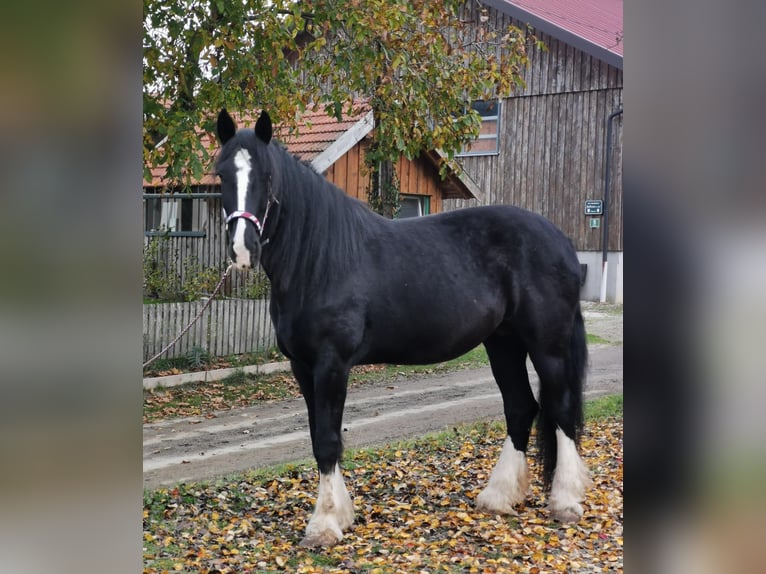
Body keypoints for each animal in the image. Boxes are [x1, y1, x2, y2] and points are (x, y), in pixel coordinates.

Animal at [214, 108, 591, 547]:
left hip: (548, 346)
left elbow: (327, 440)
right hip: (503, 344)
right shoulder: (303, 367)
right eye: (222, 174)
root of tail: (561, 241)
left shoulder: (331, 363)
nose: (243, 249)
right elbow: (318, 436)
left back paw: (564, 502)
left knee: (560, 408)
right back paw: (497, 497)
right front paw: (340, 515)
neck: (319, 259)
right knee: (520, 407)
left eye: (268, 176)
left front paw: (324, 524)